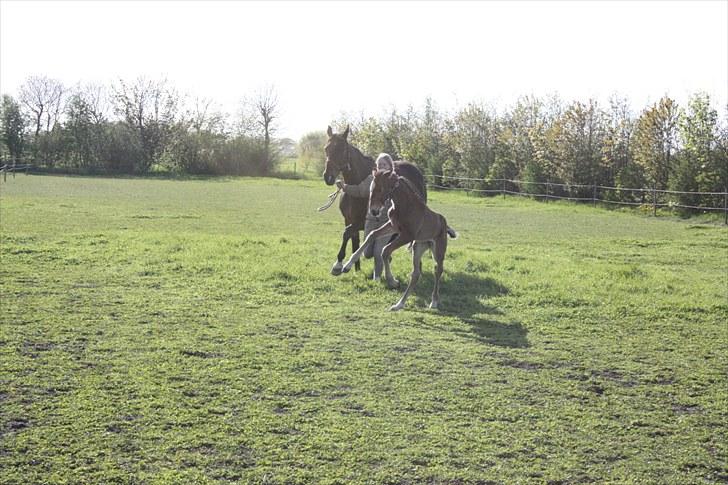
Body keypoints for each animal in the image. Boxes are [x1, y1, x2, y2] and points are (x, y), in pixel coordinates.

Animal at [322, 125, 426, 276]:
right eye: (326, 148)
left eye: (342, 149)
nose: (328, 177)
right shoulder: (349, 219)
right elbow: (353, 239)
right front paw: (356, 268)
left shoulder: (360, 222)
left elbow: (346, 233)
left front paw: (338, 264)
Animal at [340, 168, 456, 308]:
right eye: (370, 188)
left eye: (380, 189)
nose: (374, 211)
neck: (405, 205)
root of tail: (444, 224)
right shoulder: (393, 226)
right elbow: (372, 234)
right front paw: (346, 266)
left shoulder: (407, 235)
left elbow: (385, 250)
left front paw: (392, 281)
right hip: (418, 247)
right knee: (416, 273)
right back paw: (401, 304)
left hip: (438, 249)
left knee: (438, 270)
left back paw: (433, 302)